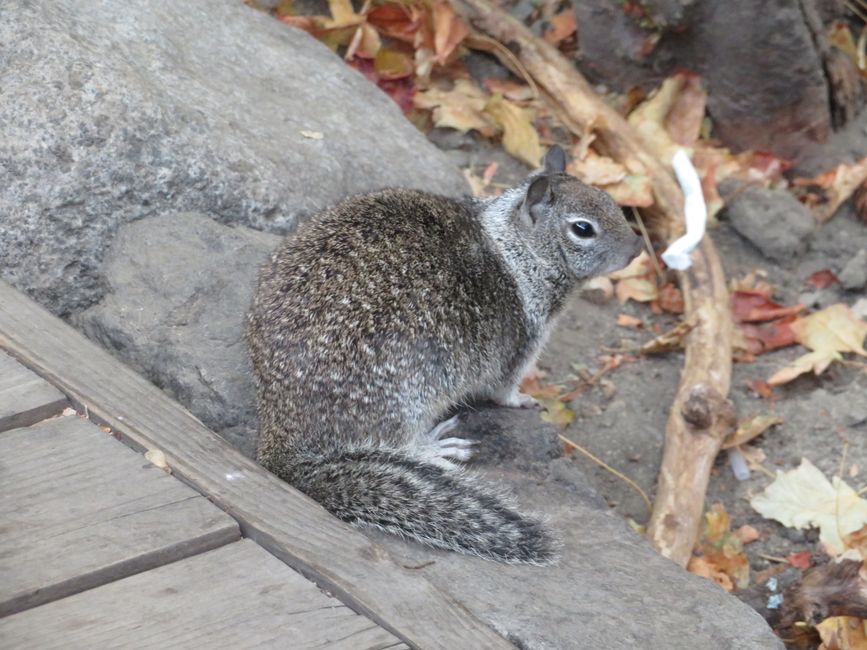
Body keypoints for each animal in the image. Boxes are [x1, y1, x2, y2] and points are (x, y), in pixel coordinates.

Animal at [248, 147, 640, 560]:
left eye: (611, 201)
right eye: (583, 228)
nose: (638, 248)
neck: (516, 249)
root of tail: (280, 430)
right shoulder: (521, 347)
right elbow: (504, 391)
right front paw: (525, 400)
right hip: (409, 397)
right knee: (397, 443)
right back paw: (434, 448)